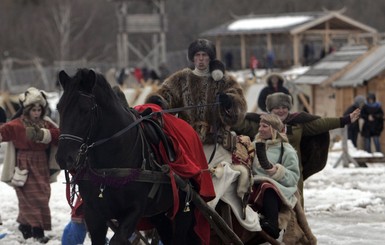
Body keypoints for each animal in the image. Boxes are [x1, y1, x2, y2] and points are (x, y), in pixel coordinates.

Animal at [56, 68, 201, 245]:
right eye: (59, 108)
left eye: (84, 109)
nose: (63, 158)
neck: (110, 166)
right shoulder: (93, 213)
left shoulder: (134, 211)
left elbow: (117, 240)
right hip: (159, 213)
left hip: (184, 208)